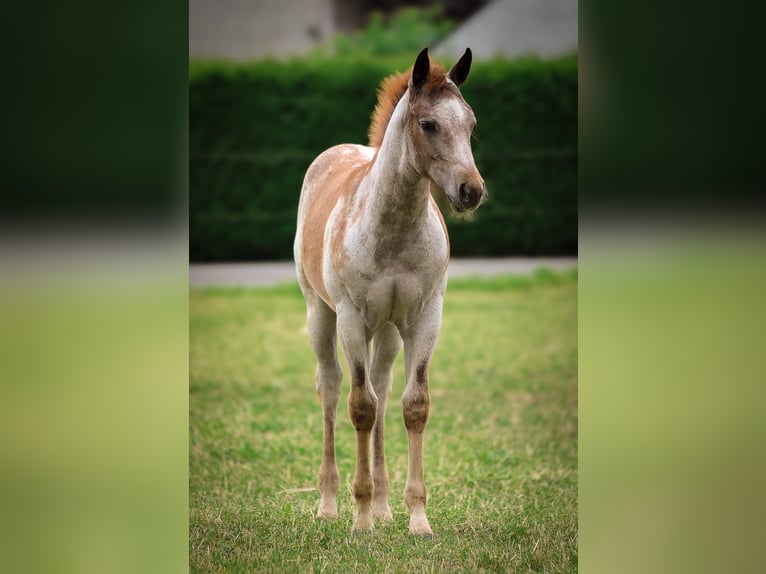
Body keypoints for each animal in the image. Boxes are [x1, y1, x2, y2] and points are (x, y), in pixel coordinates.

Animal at [294, 47, 486, 536]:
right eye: (428, 124)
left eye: (471, 123)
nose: (471, 191)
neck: (394, 228)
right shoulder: (350, 317)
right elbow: (360, 406)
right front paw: (360, 520)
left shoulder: (425, 317)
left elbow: (412, 405)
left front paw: (416, 518)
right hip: (321, 314)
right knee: (332, 387)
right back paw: (330, 504)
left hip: (387, 331)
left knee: (381, 388)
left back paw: (383, 506)